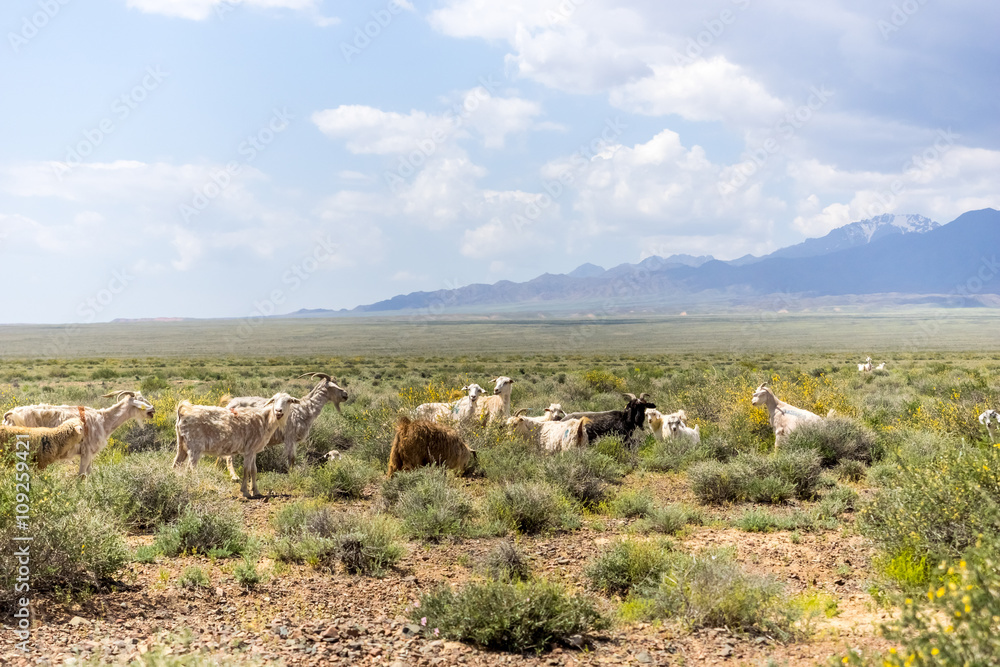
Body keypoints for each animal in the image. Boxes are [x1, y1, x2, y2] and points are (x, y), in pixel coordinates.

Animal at [3, 390, 155, 475]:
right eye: (140, 401)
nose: (153, 409)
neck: (103, 420)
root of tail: (9, 416)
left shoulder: (91, 454)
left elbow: (88, 474)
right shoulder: (86, 452)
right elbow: (81, 476)